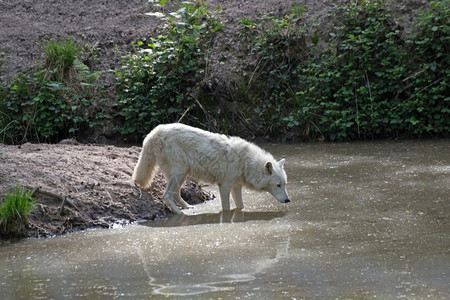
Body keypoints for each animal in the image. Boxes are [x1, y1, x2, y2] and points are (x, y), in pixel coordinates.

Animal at [132, 123, 290, 214]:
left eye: (284, 184)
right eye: (278, 185)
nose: (288, 200)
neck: (246, 163)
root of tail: (154, 132)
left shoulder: (236, 186)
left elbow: (241, 206)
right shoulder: (225, 186)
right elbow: (226, 208)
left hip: (182, 174)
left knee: (175, 194)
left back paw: (188, 207)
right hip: (179, 172)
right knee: (166, 195)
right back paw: (180, 212)